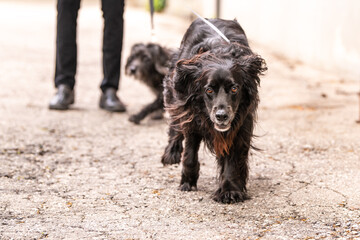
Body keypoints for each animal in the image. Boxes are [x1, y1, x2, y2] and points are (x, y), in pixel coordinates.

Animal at [162, 18, 266, 204]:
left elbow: (233, 159)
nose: (221, 116)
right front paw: (187, 181)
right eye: (209, 90)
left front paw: (230, 190)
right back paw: (171, 152)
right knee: (175, 124)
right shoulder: (192, 118)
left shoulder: (241, 125)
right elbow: (189, 154)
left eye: (234, 88)